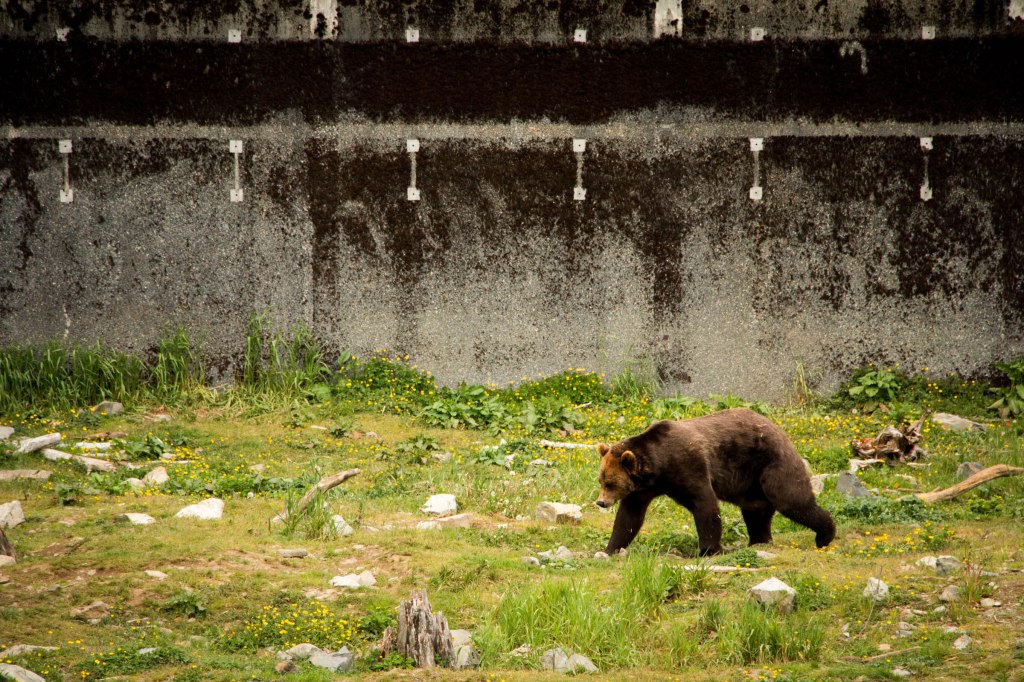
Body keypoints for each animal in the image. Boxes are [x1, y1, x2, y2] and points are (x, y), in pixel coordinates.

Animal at [595, 408, 835, 556]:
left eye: (611, 483)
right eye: (601, 480)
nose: (601, 502)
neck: (658, 465)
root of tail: (777, 427)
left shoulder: (687, 466)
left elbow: (704, 504)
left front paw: (708, 549)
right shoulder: (643, 489)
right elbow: (629, 518)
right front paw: (608, 549)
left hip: (771, 461)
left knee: (790, 499)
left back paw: (825, 535)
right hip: (749, 480)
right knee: (756, 508)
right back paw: (758, 540)